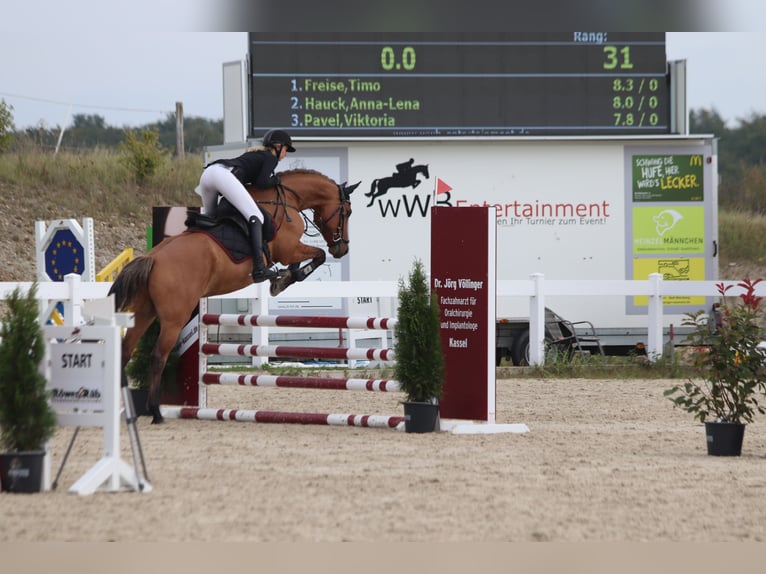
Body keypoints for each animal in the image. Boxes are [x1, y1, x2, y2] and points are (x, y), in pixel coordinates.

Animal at [109, 169, 360, 426]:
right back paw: (156, 412)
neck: (288, 199)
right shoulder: (289, 249)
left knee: (125, 350)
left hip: (144, 312)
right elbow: (317, 255)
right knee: (158, 356)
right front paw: (285, 278)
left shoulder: (290, 250)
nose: (342, 249)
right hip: (174, 318)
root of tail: (153, 258)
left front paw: (283, 277)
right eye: (348, 212)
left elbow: (311, 258)